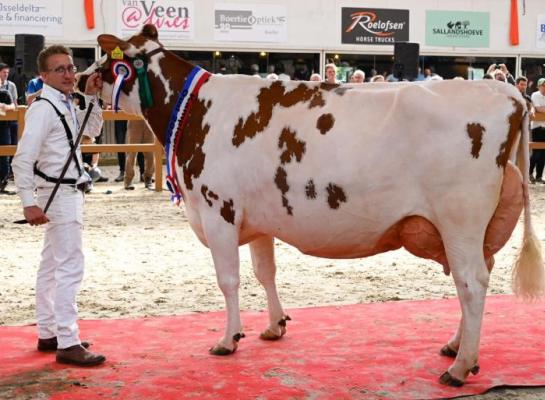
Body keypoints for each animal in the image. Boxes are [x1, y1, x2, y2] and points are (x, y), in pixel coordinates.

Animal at [77, 23, 544, 386]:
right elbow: (264, 272)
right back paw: (455, 347)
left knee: (472, 282)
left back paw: (461, 367)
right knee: (476, 279)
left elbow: (228, 280)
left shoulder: (217, 210)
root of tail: (504, 91)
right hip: (474, 226)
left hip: (459, 218)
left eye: (109, 59)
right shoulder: (257, 219)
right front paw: (274, 326)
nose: (81, 80)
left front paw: (229, 339)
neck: (196, 111)